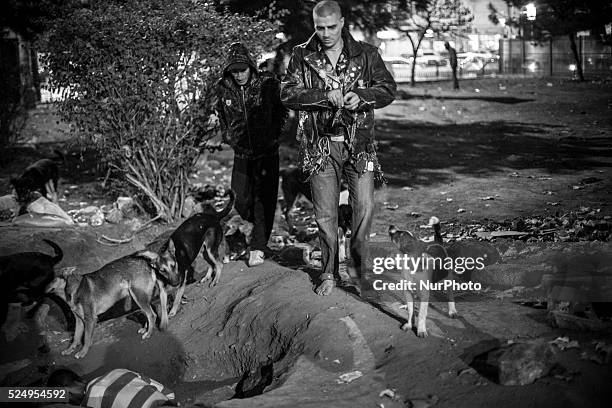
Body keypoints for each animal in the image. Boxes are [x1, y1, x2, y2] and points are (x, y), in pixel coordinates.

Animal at [45, 250, 173, 358]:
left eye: (51, 279)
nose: (41, 289)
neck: (74, 290)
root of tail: (147, 264)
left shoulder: (90, 319)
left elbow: (86, 339)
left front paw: (82, 353)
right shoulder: (79, 320)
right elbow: (76, 338)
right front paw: (69, 350)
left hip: (139, 297)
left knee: (152, 315)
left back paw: (148, 334)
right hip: (142, 298)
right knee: (149, 314)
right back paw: (145, 329)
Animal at [149, 190, 235, 318]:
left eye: (174, 265)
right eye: (162, 270)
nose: (175, 282)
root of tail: (213, 216)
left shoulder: (182, 281)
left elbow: (177, 298)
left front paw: (173, 311)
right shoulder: (163, 289)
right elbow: (164, 306)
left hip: (210, 250)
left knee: (219, 264)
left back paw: (215, 281)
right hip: (203, 251)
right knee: (211, 265)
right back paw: (206, 277)